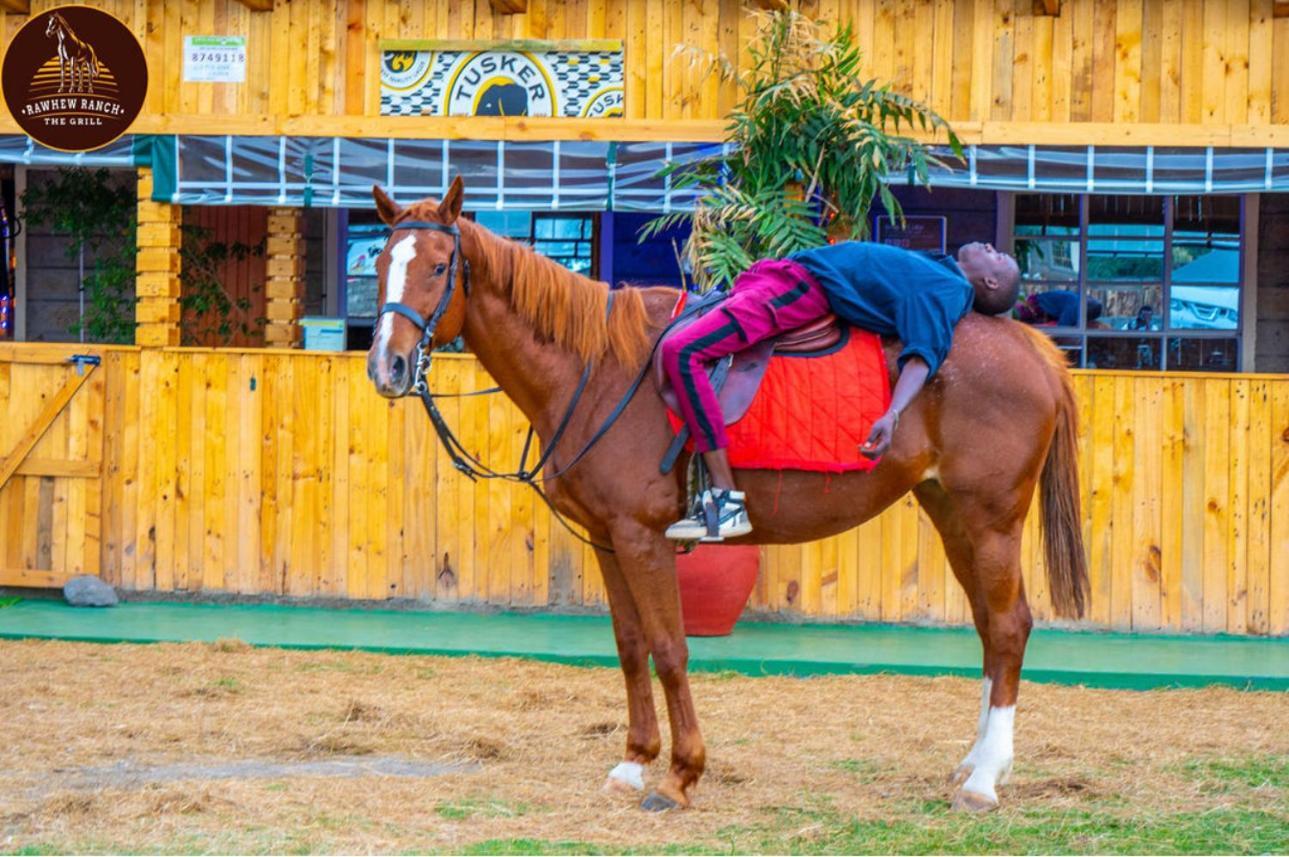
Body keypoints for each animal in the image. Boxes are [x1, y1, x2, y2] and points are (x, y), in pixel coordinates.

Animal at [368, 176, 1093, 814]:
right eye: (380, 262)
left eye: (438, 267)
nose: (387, 366)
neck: (597, 369)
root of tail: (1031, 346)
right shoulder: (608, 538)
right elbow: (629, 645)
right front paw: (634, 762)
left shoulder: (641, 538)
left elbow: (669, 647)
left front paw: (680, 774)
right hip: (952, 513)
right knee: (990, 625)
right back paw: (974, 762)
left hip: (990, 518)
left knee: (1008, 625)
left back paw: (985, 780)